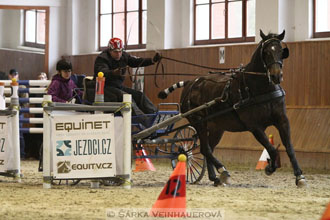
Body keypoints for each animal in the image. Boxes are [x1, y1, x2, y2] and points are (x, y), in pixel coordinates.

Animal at [159, 30, 306, 186]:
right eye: (266, 52)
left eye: (280, 51)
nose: (276, 76)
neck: (259, 88)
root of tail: (191, 82)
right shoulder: (255, 126)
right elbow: (271, 148)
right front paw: (270, 167)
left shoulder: (282, 120)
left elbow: (289, 147)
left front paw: (299, 176)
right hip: (199, 122)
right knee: (205, 148)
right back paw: (223, 171)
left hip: (216, 127)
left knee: (208, 149)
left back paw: (215, 177)